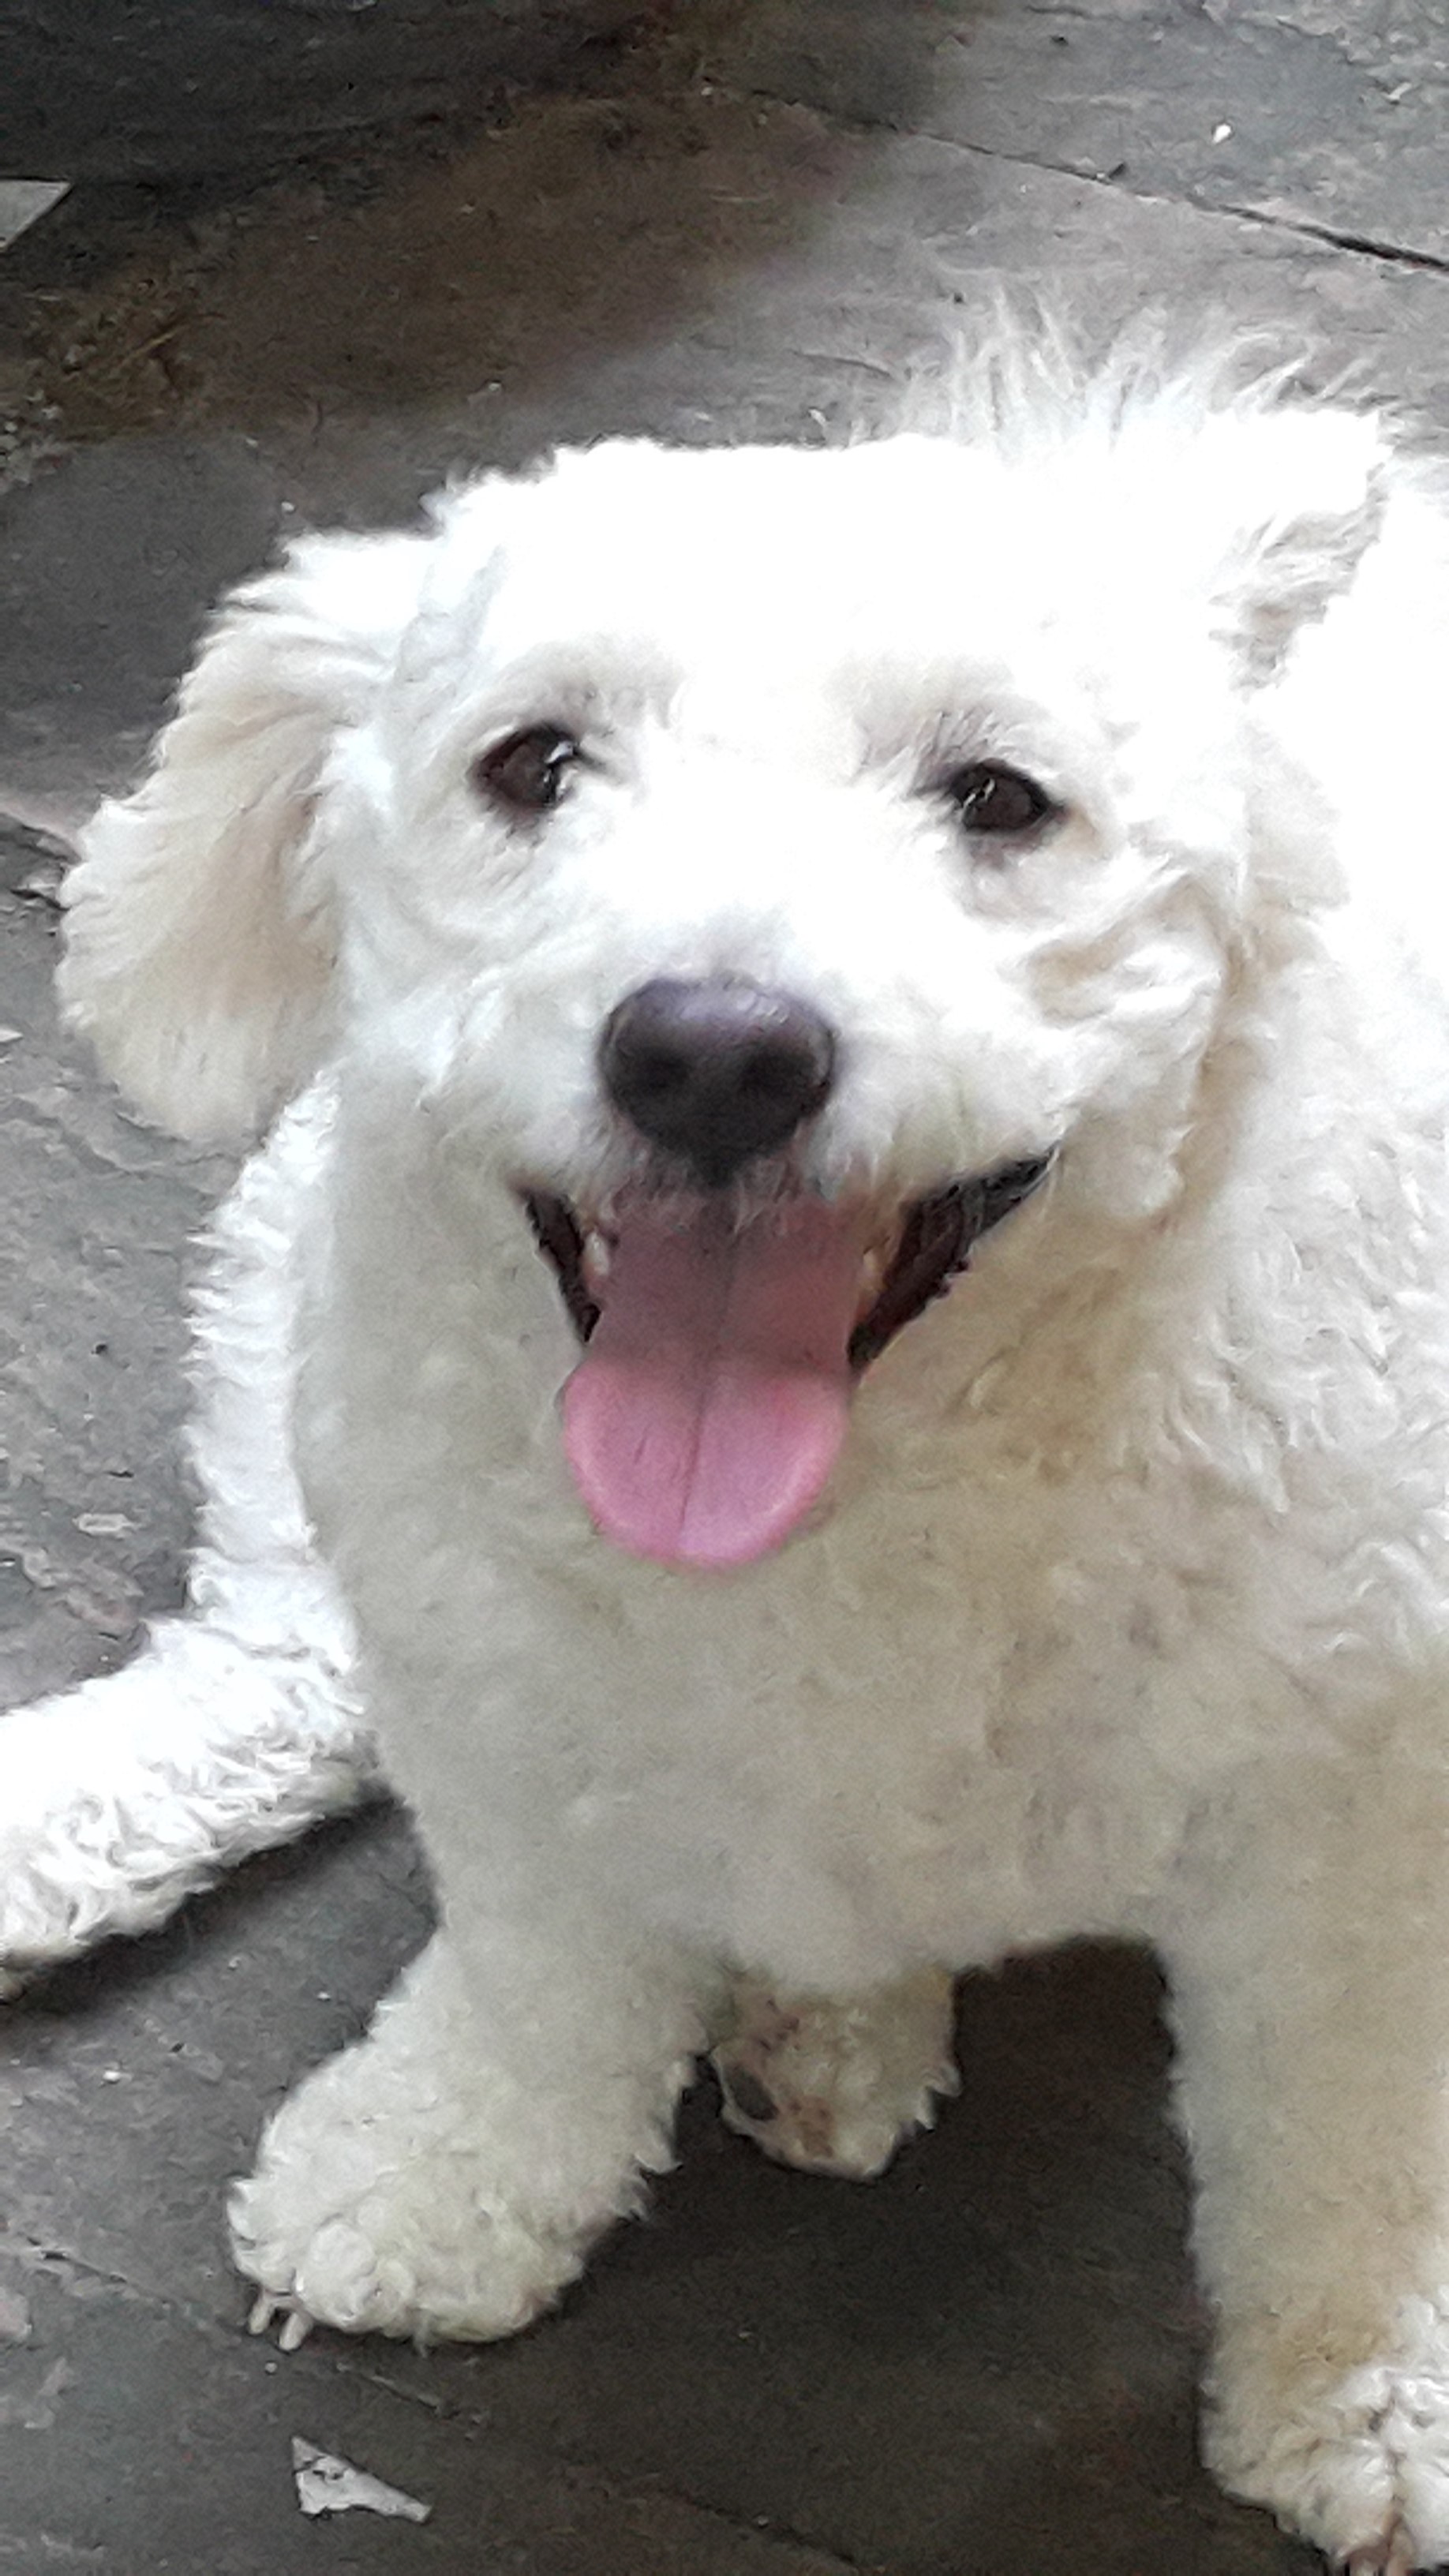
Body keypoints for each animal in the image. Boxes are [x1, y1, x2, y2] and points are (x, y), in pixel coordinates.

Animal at [5, 337, 1449, 2570]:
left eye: (998, 798)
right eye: (534, 765)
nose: (712, 1049)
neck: (838, 1537)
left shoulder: (1351, 1836)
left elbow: (1345, 2138)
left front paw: (1367, 2385)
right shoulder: (513, 1723)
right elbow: (540, 1987)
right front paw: (443, 2170)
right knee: (289, 1649)